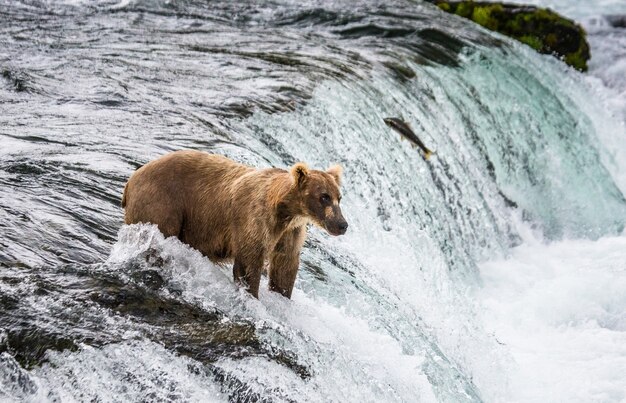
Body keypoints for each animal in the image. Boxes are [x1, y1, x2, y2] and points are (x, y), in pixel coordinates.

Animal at [120, 151, 346, 300]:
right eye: (324, 196)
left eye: (339, 197)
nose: (342, 225)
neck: (284, 210)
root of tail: (131, 180)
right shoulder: (254, 220)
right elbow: (248, 262)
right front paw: (252, 294)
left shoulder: (290, 232)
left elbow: (284, 268)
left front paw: (281, 295)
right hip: (162, 203)